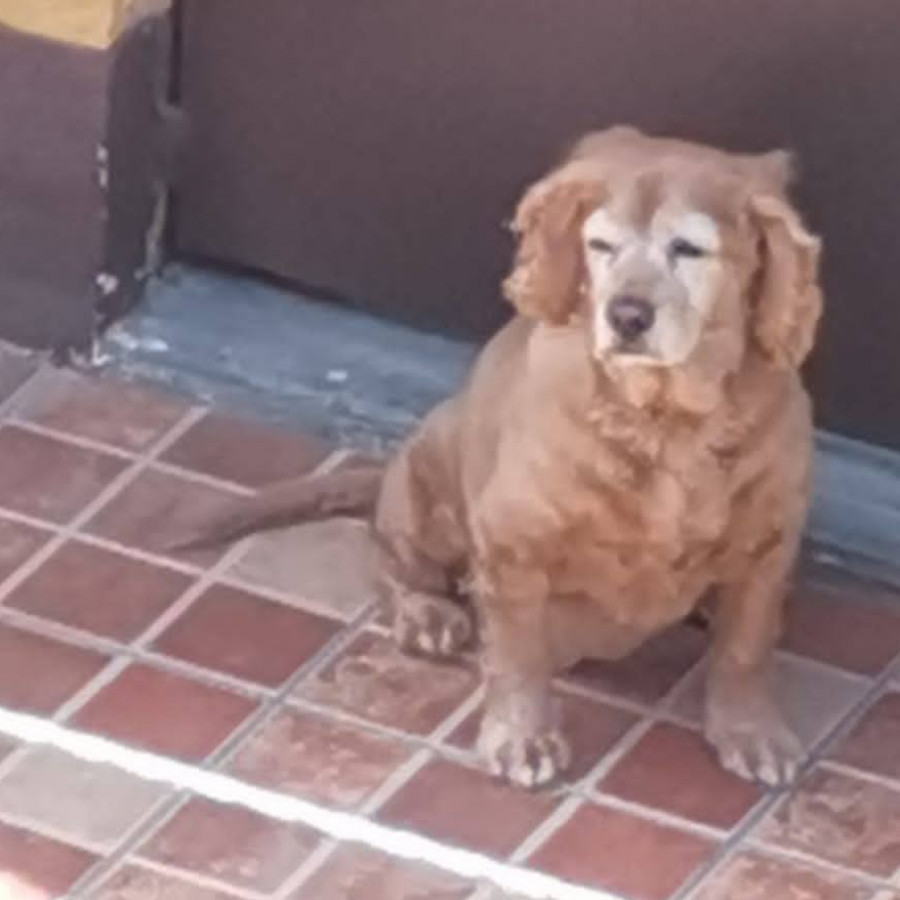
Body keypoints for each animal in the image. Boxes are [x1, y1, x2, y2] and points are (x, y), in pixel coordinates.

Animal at [174, 125, 824, 788]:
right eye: (601, 245)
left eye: (688, 249)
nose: (626, 315)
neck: (662, 421)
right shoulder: (515, 541)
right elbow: (518, 650)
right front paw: (522, 737)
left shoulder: (768, 545)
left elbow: (745, 649)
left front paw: (750, 731)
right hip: (428, 488)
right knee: (390, 558)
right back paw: (425, 612)